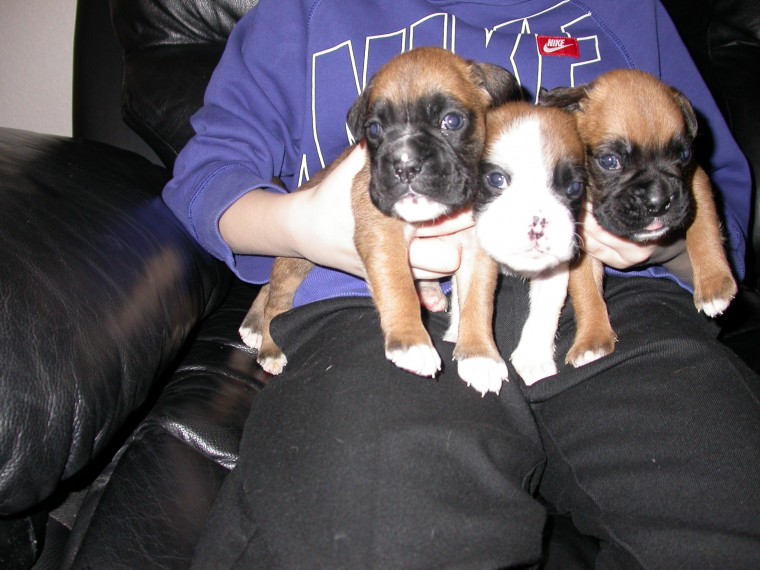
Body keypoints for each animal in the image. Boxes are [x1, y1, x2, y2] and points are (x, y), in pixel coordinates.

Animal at [239, 46, 524, 380]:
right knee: (276, 304)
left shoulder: (477, 248)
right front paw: (411, 342)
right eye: (374, 129)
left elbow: (478, 300)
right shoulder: (383, 231)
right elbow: (397, 283)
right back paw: (268, 344)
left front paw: (479, 355)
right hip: (296, 260)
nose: (405, 165)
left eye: (451, 121)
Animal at [448, 100, 584, 388]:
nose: (537, 224)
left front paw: (533, 358)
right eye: (496, 179)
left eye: (574, 187)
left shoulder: (555, 271)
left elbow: (545, 311)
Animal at [540, 67, 736, 364]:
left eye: (684, 154)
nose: (658, 201)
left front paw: (714, 284)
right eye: (610, 161)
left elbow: (704, 231)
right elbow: (586, 289)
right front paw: (592, 339)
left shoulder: (696, 183)